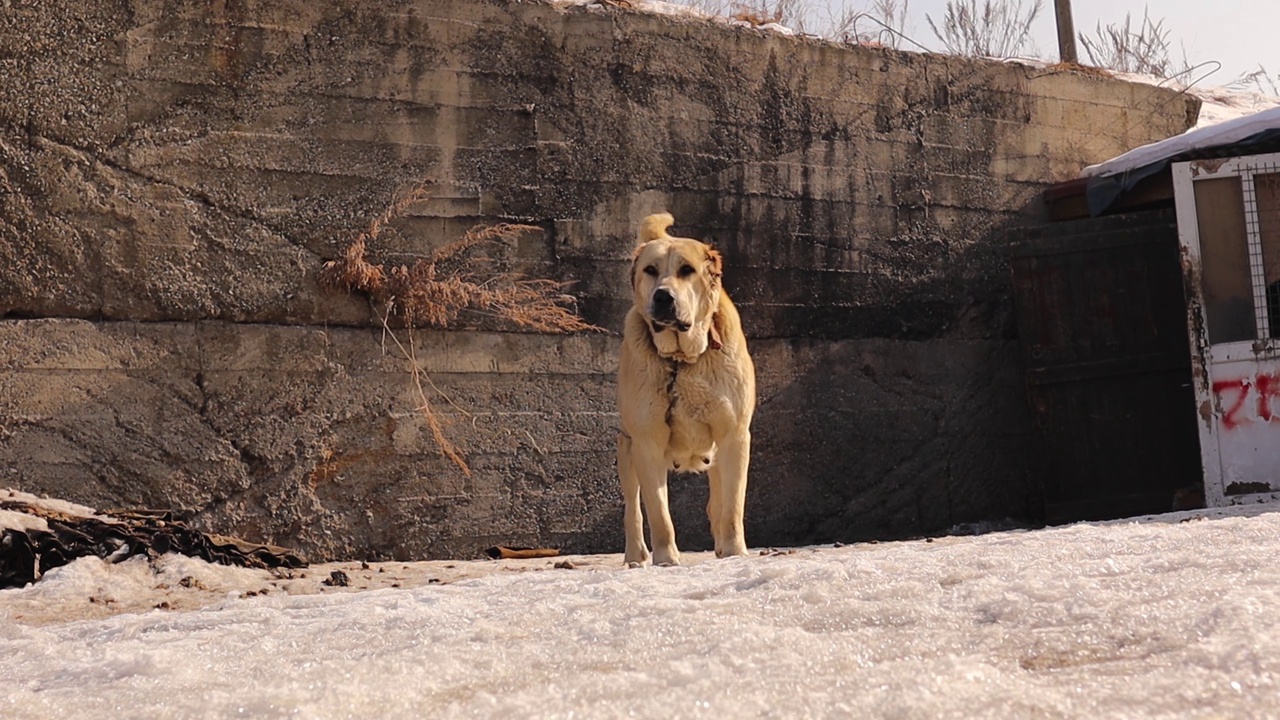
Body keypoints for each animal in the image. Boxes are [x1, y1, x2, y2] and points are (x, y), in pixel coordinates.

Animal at [614, 210, 752, 563]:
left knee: (718, 501)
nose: (663, 296)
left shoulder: (734, 436)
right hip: (626, 450)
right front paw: (666, 558)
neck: (682, 359)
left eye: (686, 270)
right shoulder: (646, 442)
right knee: (633, 508)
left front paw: (734, 551)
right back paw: (636, 556)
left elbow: (732, 506)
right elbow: (658, 513)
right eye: (650, 270)